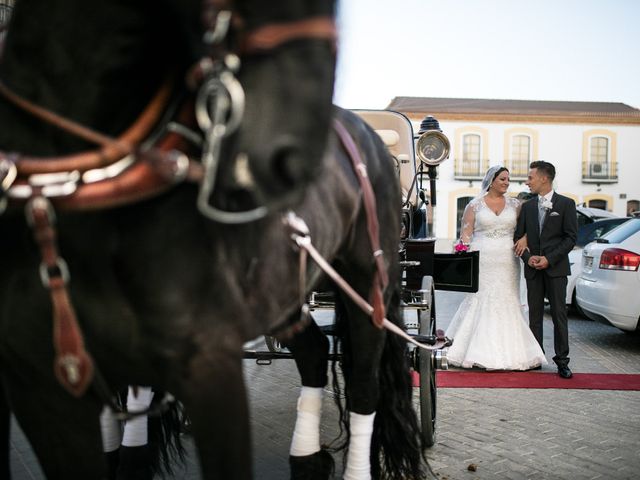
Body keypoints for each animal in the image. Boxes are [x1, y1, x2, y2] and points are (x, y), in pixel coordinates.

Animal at [0, 0, 424, 480]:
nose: (288, 157)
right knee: (315, 353)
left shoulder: (210, 370)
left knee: (365, 386)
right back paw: (306, 458)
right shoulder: (42, 390)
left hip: (367, 285)